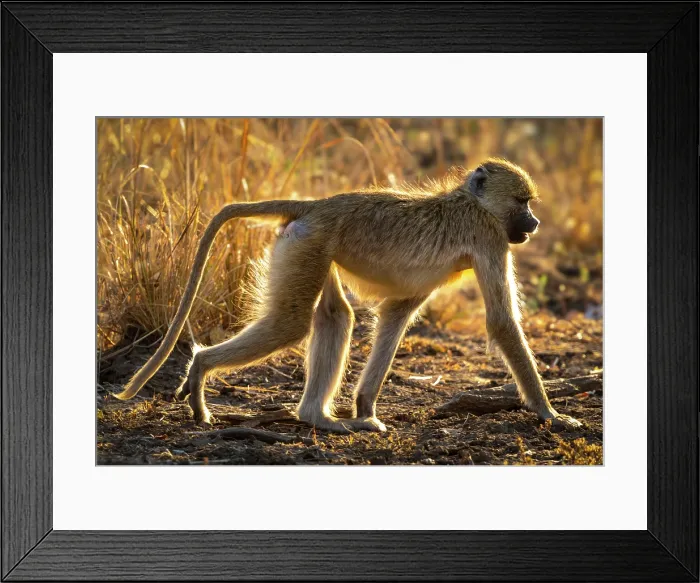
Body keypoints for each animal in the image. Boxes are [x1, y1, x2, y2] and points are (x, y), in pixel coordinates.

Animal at [114, 158, 582, 433]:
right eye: (522, 201)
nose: (535, 223)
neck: (474, 202)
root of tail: (316, 205)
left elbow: (396, 313)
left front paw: (364, 408)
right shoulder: (490, 238)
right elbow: (501, 322)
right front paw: (551, 414)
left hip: (309, 246)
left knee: (335, 317)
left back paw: (319, 418)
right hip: (310, 244)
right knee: (291, 324)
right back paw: (201, 371)